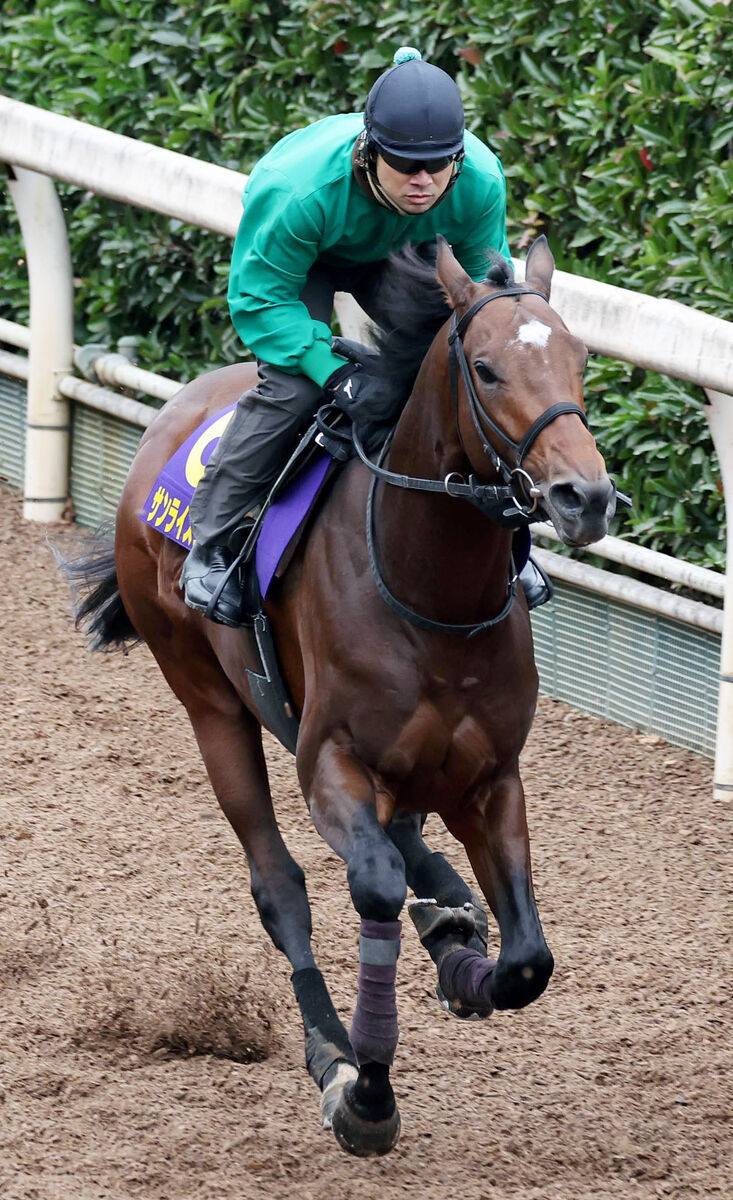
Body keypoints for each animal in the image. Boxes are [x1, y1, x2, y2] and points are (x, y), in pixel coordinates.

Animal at [65, 238, 619, 1156]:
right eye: (486, 368)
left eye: (580, 358)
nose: (587, 496)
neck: (431, 593)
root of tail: (175, 411)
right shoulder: (330, 761)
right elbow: (373, 889)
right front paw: (366, 1092)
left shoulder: (492, 778)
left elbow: (526, 960)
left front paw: (464, 958)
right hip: (211, 706)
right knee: (281, 883)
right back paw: (330, 1047)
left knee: (407, 847)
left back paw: (448, 918)